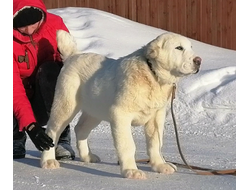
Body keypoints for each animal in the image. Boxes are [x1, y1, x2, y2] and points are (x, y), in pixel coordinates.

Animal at [40, 29, 201, 180]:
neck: (152, 73)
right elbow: (128, 145)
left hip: (95, 110)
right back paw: (48, 161)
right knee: (52, 131)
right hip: (66, 106)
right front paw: (131, 171)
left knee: (80, 128)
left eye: (191, 47)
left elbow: (155, 143)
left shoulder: (156, 118)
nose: (198, 60)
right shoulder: (120, 115)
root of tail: (73, 56)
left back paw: (87, 156)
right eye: (179, 48)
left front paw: (160, 165)